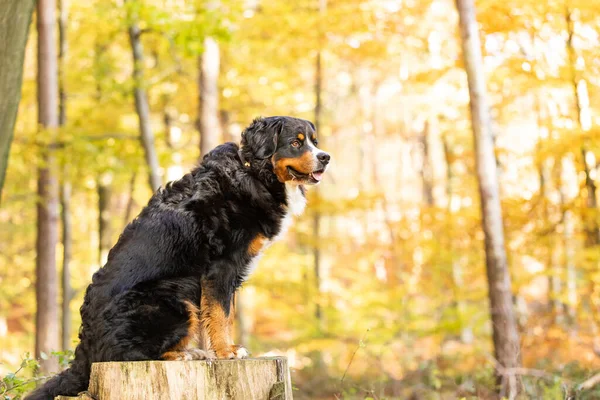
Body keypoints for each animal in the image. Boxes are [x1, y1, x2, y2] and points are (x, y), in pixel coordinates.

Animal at [25, 114, 330, 398]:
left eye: (314, 141)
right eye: (295, 143)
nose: (325, 157)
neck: (252, 172)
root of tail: (85, 349)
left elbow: (225, 313)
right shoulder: (222, 266)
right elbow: (220, 314)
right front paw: (227, 352)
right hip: (174, 299)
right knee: (126, 355)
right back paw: (183, 353)